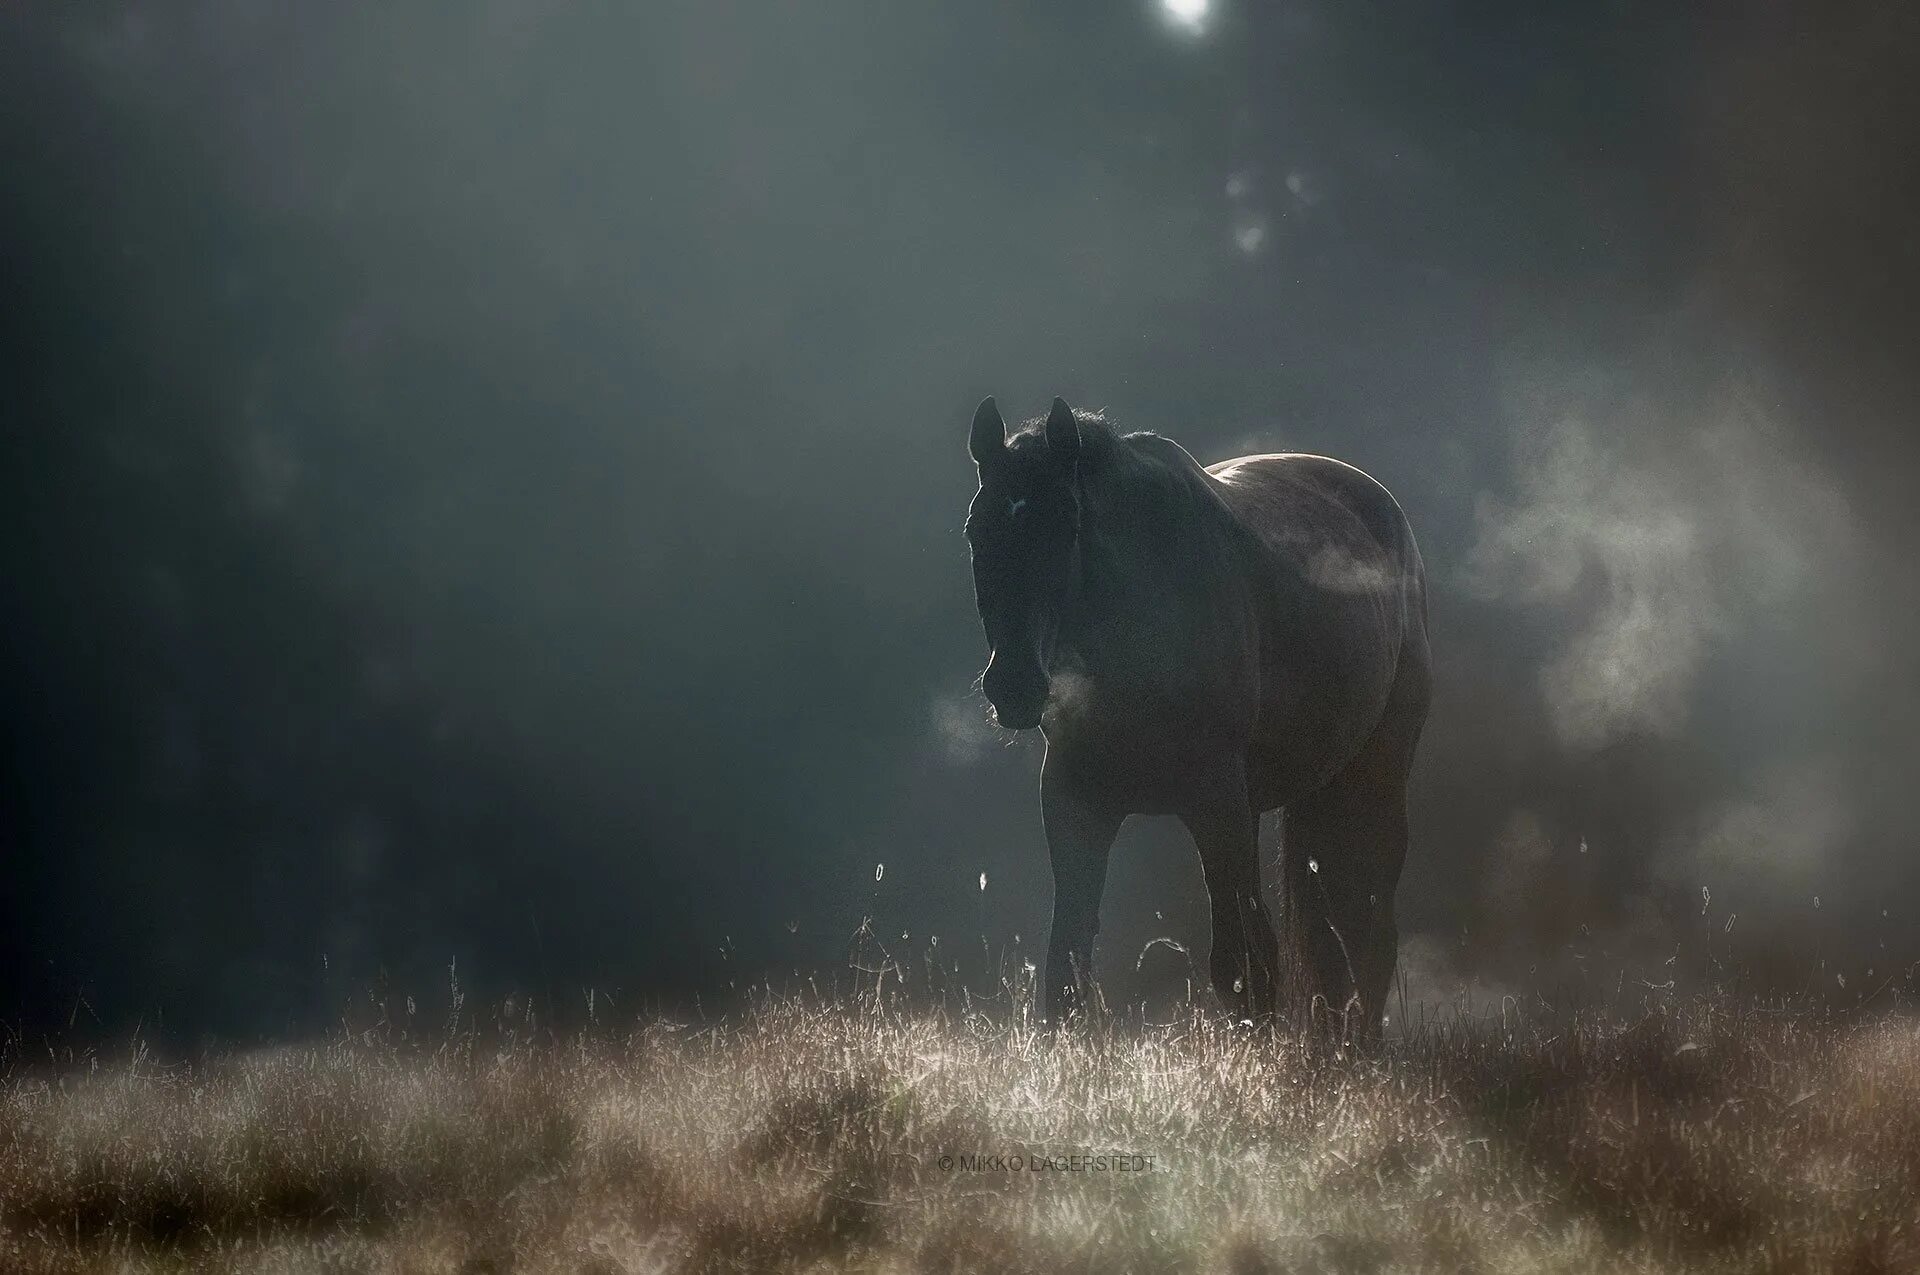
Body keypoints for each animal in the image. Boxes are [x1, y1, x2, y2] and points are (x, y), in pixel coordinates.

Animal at [960, 395, 1428, 1036]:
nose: (1013, 685)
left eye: (1067, 526)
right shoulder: (1075, 802)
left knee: (1369, 936)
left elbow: (1244, 962)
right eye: (977, 530)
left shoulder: (1217, 801)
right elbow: (1066, 966)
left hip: (1374, 779)